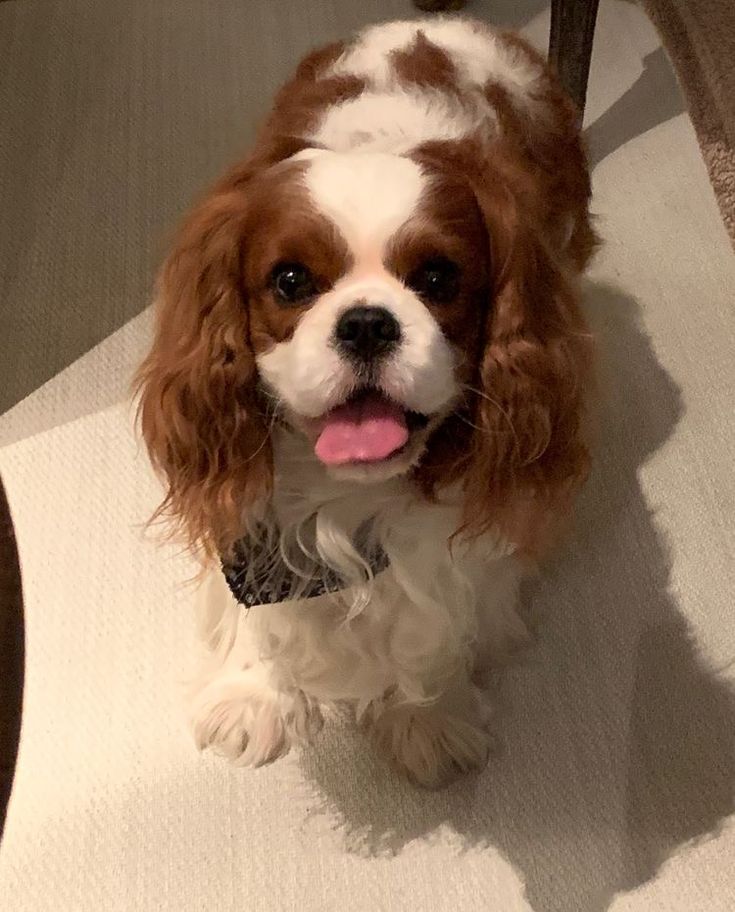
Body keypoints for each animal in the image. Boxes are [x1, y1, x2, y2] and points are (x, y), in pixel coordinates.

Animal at [137, 17, 600, 788]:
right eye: (290, 280)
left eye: (438, 277)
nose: (365, 324)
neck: (344, 502)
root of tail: (439, 25)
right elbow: (254, 604)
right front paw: (254, 691)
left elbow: (439, 618)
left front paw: (427, 714)